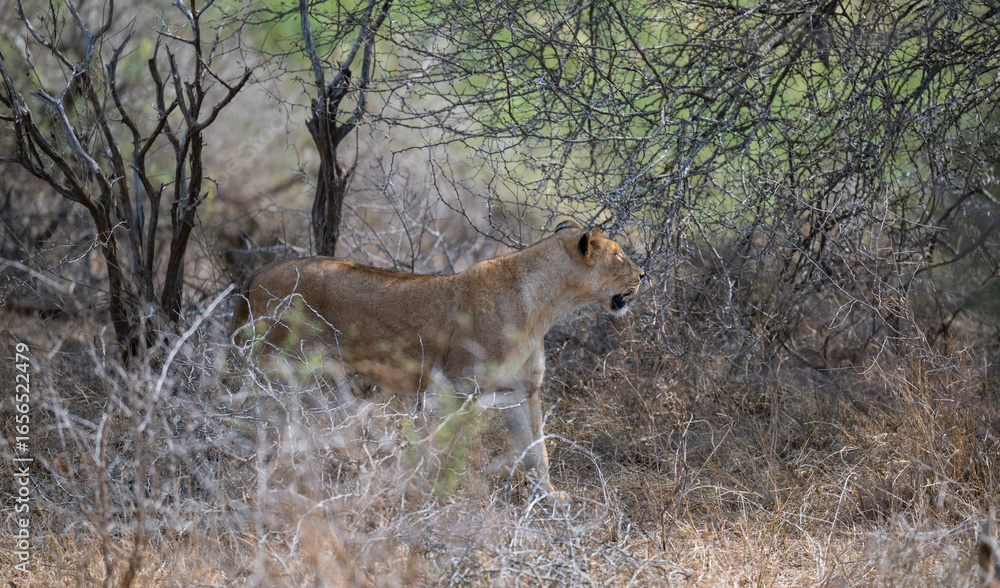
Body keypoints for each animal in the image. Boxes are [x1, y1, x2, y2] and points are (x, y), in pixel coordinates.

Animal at [229, 220, 645, 498]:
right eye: (619, 255)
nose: (643, 273)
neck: (544, 307)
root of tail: (260, 270)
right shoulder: (456, 391)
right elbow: (446, 451)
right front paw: (439, 495)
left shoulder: (521, 392)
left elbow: (536, 449)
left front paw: (550, 497)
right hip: (278, 366)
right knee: (256, 413)